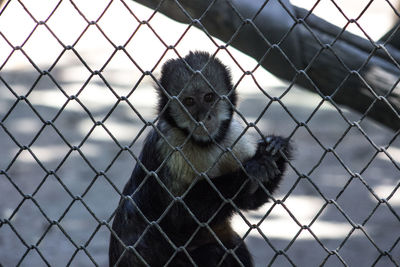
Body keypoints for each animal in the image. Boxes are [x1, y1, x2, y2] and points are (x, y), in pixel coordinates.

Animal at [108, 51, 290, 266]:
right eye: (189, 102)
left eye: (209, 97)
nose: (203, 117)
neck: (202, 144)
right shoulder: (168, 145)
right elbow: (178, 218)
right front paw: (251, 170)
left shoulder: (232, 136)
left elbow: (250, 200)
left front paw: (275, 150)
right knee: (215, 252)